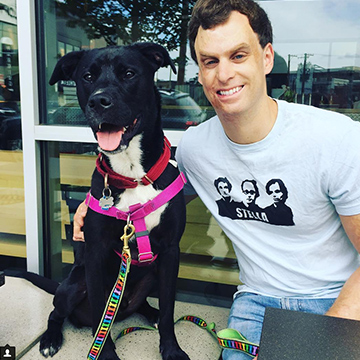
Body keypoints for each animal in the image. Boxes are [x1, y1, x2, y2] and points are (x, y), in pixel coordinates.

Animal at [39, 44, 190, 360]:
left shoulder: (171, 251)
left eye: (129, 73)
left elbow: (169, 309)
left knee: (143, 304)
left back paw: (150, 313)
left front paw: (171, 349)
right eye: (87, 76)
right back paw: (49, 338)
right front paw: (105, 354)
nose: (99, 101)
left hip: (152, 270)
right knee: (58, 313)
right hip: (73, 284)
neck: (134, 176)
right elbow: (101, 313)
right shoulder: (95, 255)